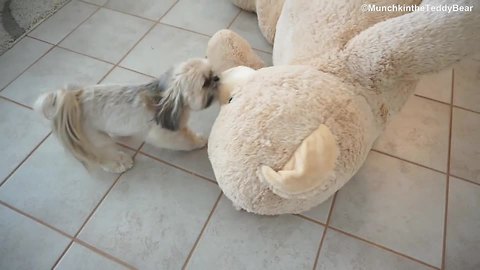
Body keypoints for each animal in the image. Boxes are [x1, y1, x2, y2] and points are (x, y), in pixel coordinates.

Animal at [33, 58, 219, 174]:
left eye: (212, 71)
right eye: (205, 83)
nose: (217, 77)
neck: (165, 99)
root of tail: (74, 99)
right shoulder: (164, 133)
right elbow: (184, 139)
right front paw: (198, 142)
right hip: (95, 139)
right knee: (103, 156)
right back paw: (119, 163)